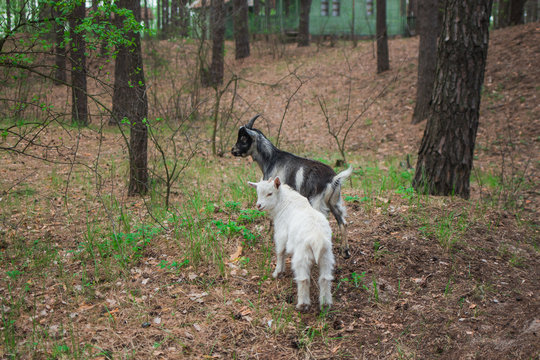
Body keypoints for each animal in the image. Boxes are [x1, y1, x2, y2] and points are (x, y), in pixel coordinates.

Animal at [232, 114, 354, 258]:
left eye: (244, 138)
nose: (233, 150)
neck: (271, 159)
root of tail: (333, 179)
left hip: (317, 202)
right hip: (334, 202)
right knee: (343, 223)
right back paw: (345, 251)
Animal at [248, 176, 334, 310]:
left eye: (270, 193)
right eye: (257, 192)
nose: (258, 205)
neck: (284, 203)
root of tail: (317, 239)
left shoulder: (281, 235)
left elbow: (280, 252)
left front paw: (277, 272)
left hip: (302, 256)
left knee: (303, 279)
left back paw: (302, 304)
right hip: (326, 256)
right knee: (325, 278)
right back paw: (325, 304)